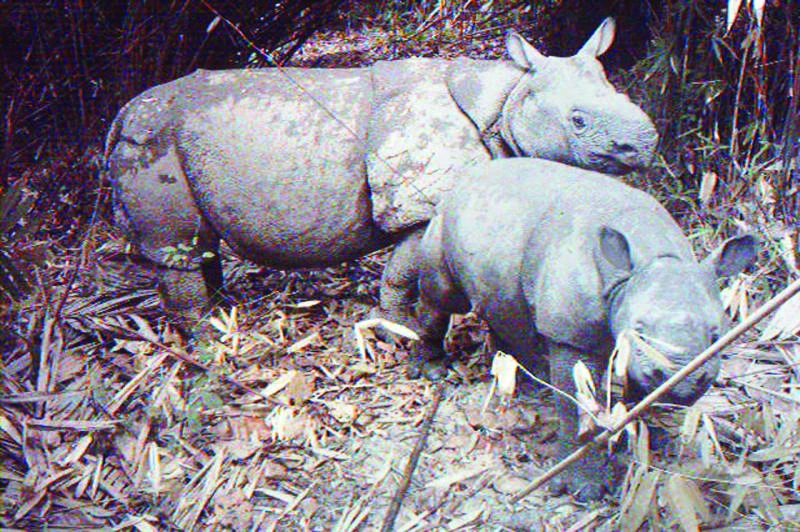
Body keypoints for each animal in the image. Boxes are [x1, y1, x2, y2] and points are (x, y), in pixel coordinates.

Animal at [104, 17, 657, 326]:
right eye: (578, 121)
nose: (645, 144)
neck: (507, 98)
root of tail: (121, 113)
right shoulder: (421, 206)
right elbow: (404, 271)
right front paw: (396, 326)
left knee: (198, 244)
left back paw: (221, 313)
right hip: (153, 140)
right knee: (176, 245)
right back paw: (206, 336)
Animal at [399, 158, 757, 501]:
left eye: (716, 336)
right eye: (639, 329)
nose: (682, 382)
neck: (648, 260)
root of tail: (466, 176)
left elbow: (638, 390)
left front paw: (643, 436)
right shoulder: (571, 335)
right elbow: (576, 404)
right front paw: (584, 487)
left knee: (503, 304)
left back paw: (521, 377)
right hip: (444, 221)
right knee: (443, 294)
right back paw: (433, 368)